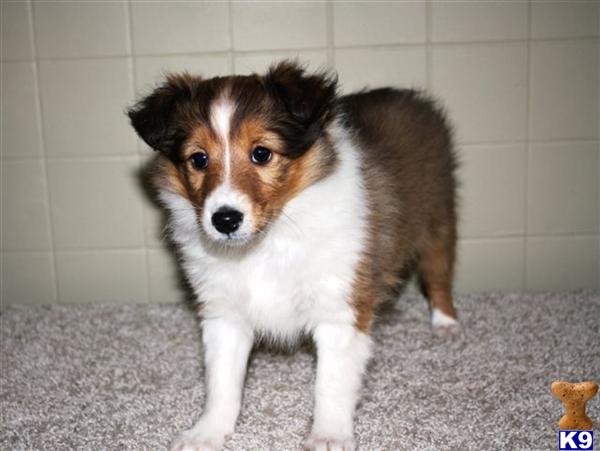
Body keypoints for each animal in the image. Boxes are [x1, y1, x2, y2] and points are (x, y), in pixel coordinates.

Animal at [129, 61, 460, 451]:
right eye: (198, 159)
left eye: (261, 153)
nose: (224, 220)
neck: (265, 244)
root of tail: (412, 97)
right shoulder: (224, 314)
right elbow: (222, 382)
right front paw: (207, 432)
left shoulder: (339, 309)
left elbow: (330, 383)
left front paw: (329, 435)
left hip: (438, 217)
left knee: (438, 274)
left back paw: (446, 323)